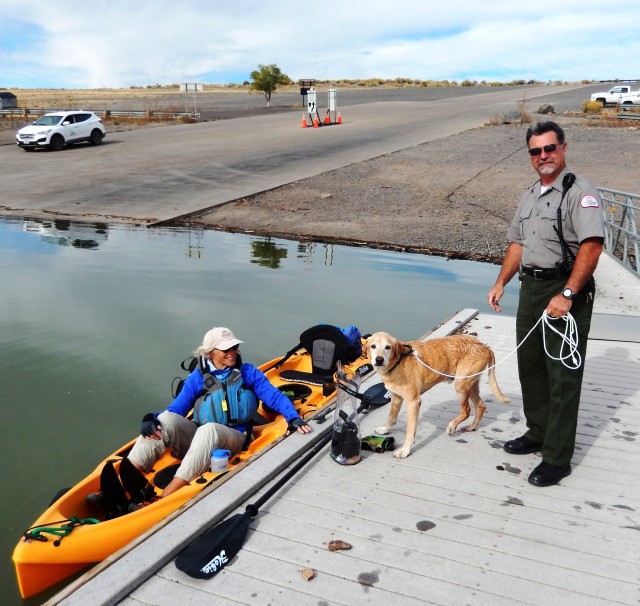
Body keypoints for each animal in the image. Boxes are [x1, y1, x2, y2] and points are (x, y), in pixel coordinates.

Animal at [364, 332, 510, 460]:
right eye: (373, 346)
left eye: (388, 347)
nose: (379, 359)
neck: (398, 361)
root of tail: (484, 346)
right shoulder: (396, 397)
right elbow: (391, 416)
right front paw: (385, 429)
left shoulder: (413, 402)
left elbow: (410, 431)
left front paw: (405, 451)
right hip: (471, 384)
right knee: (481, 406)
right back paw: (471, 427)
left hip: (461, 385)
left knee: (467, 410)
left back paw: (452, 426)